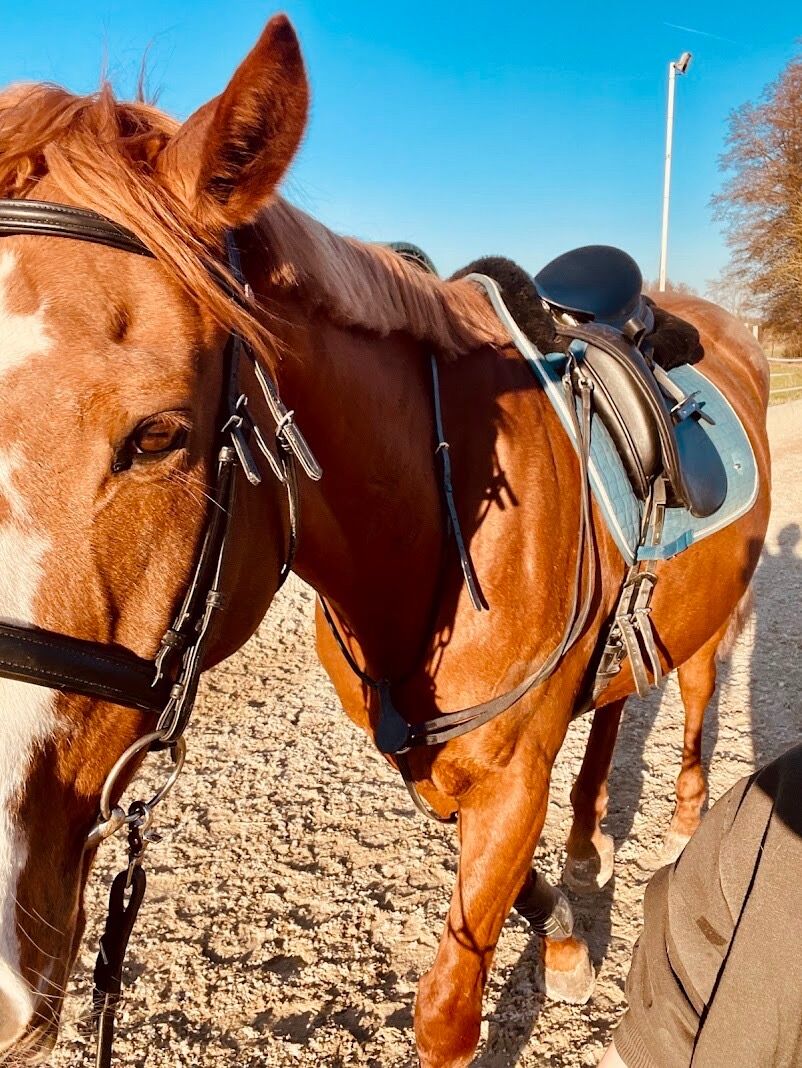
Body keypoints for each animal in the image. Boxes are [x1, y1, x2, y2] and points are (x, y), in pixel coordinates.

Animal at [0, 14, 770, 1067]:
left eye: (159, 436)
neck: (434, 526)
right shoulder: (444, 768)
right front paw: (565, 935)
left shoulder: (509, 776)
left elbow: (448, 1011)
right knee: (617, 707)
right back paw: (585, 843)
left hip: (717, 612)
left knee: (693, 696)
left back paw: (689, 821)